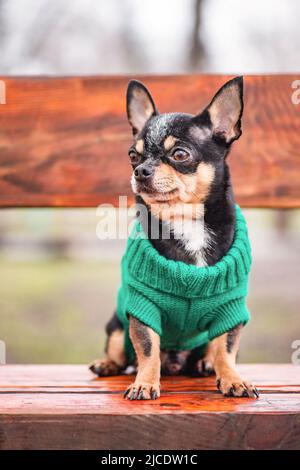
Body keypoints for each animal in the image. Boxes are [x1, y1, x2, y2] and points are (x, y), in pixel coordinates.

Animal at [88, 77, 258, 400]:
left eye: (180, 154)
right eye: (133, 156)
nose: (140, 171)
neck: (185, 220)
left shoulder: (230, 309)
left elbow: (226, 348)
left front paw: (233, 379)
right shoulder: (142, 307)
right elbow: (147, 349)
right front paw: (144, 383)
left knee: (210, 350)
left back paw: (205, 364)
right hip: (116, 324)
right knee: (120, 351)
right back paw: (107, 364)